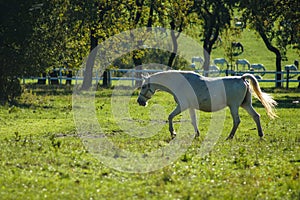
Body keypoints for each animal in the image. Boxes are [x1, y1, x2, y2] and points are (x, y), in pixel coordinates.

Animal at [137, 71, 278, 140]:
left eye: (143, 86)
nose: (140, 102)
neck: (181, 83)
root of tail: (242, 79)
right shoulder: (190, 107)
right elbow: (193, 121)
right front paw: (197, 135)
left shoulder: (182, 106)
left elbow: (170, 117)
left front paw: (173, 133)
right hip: (246, 105)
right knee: (256, 116)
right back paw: (260, 135)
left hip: (234, 106)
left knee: (237, 121)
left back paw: (229, 137)